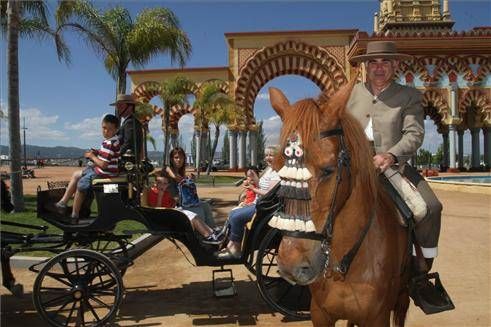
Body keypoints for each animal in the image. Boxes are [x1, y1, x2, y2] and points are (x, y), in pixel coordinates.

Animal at [270, 78, 412, 326]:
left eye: (328, 170)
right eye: (278, 168)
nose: (290, 265)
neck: (343, 267)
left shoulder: (379, 317)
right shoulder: (320, 313)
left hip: (403, 297)